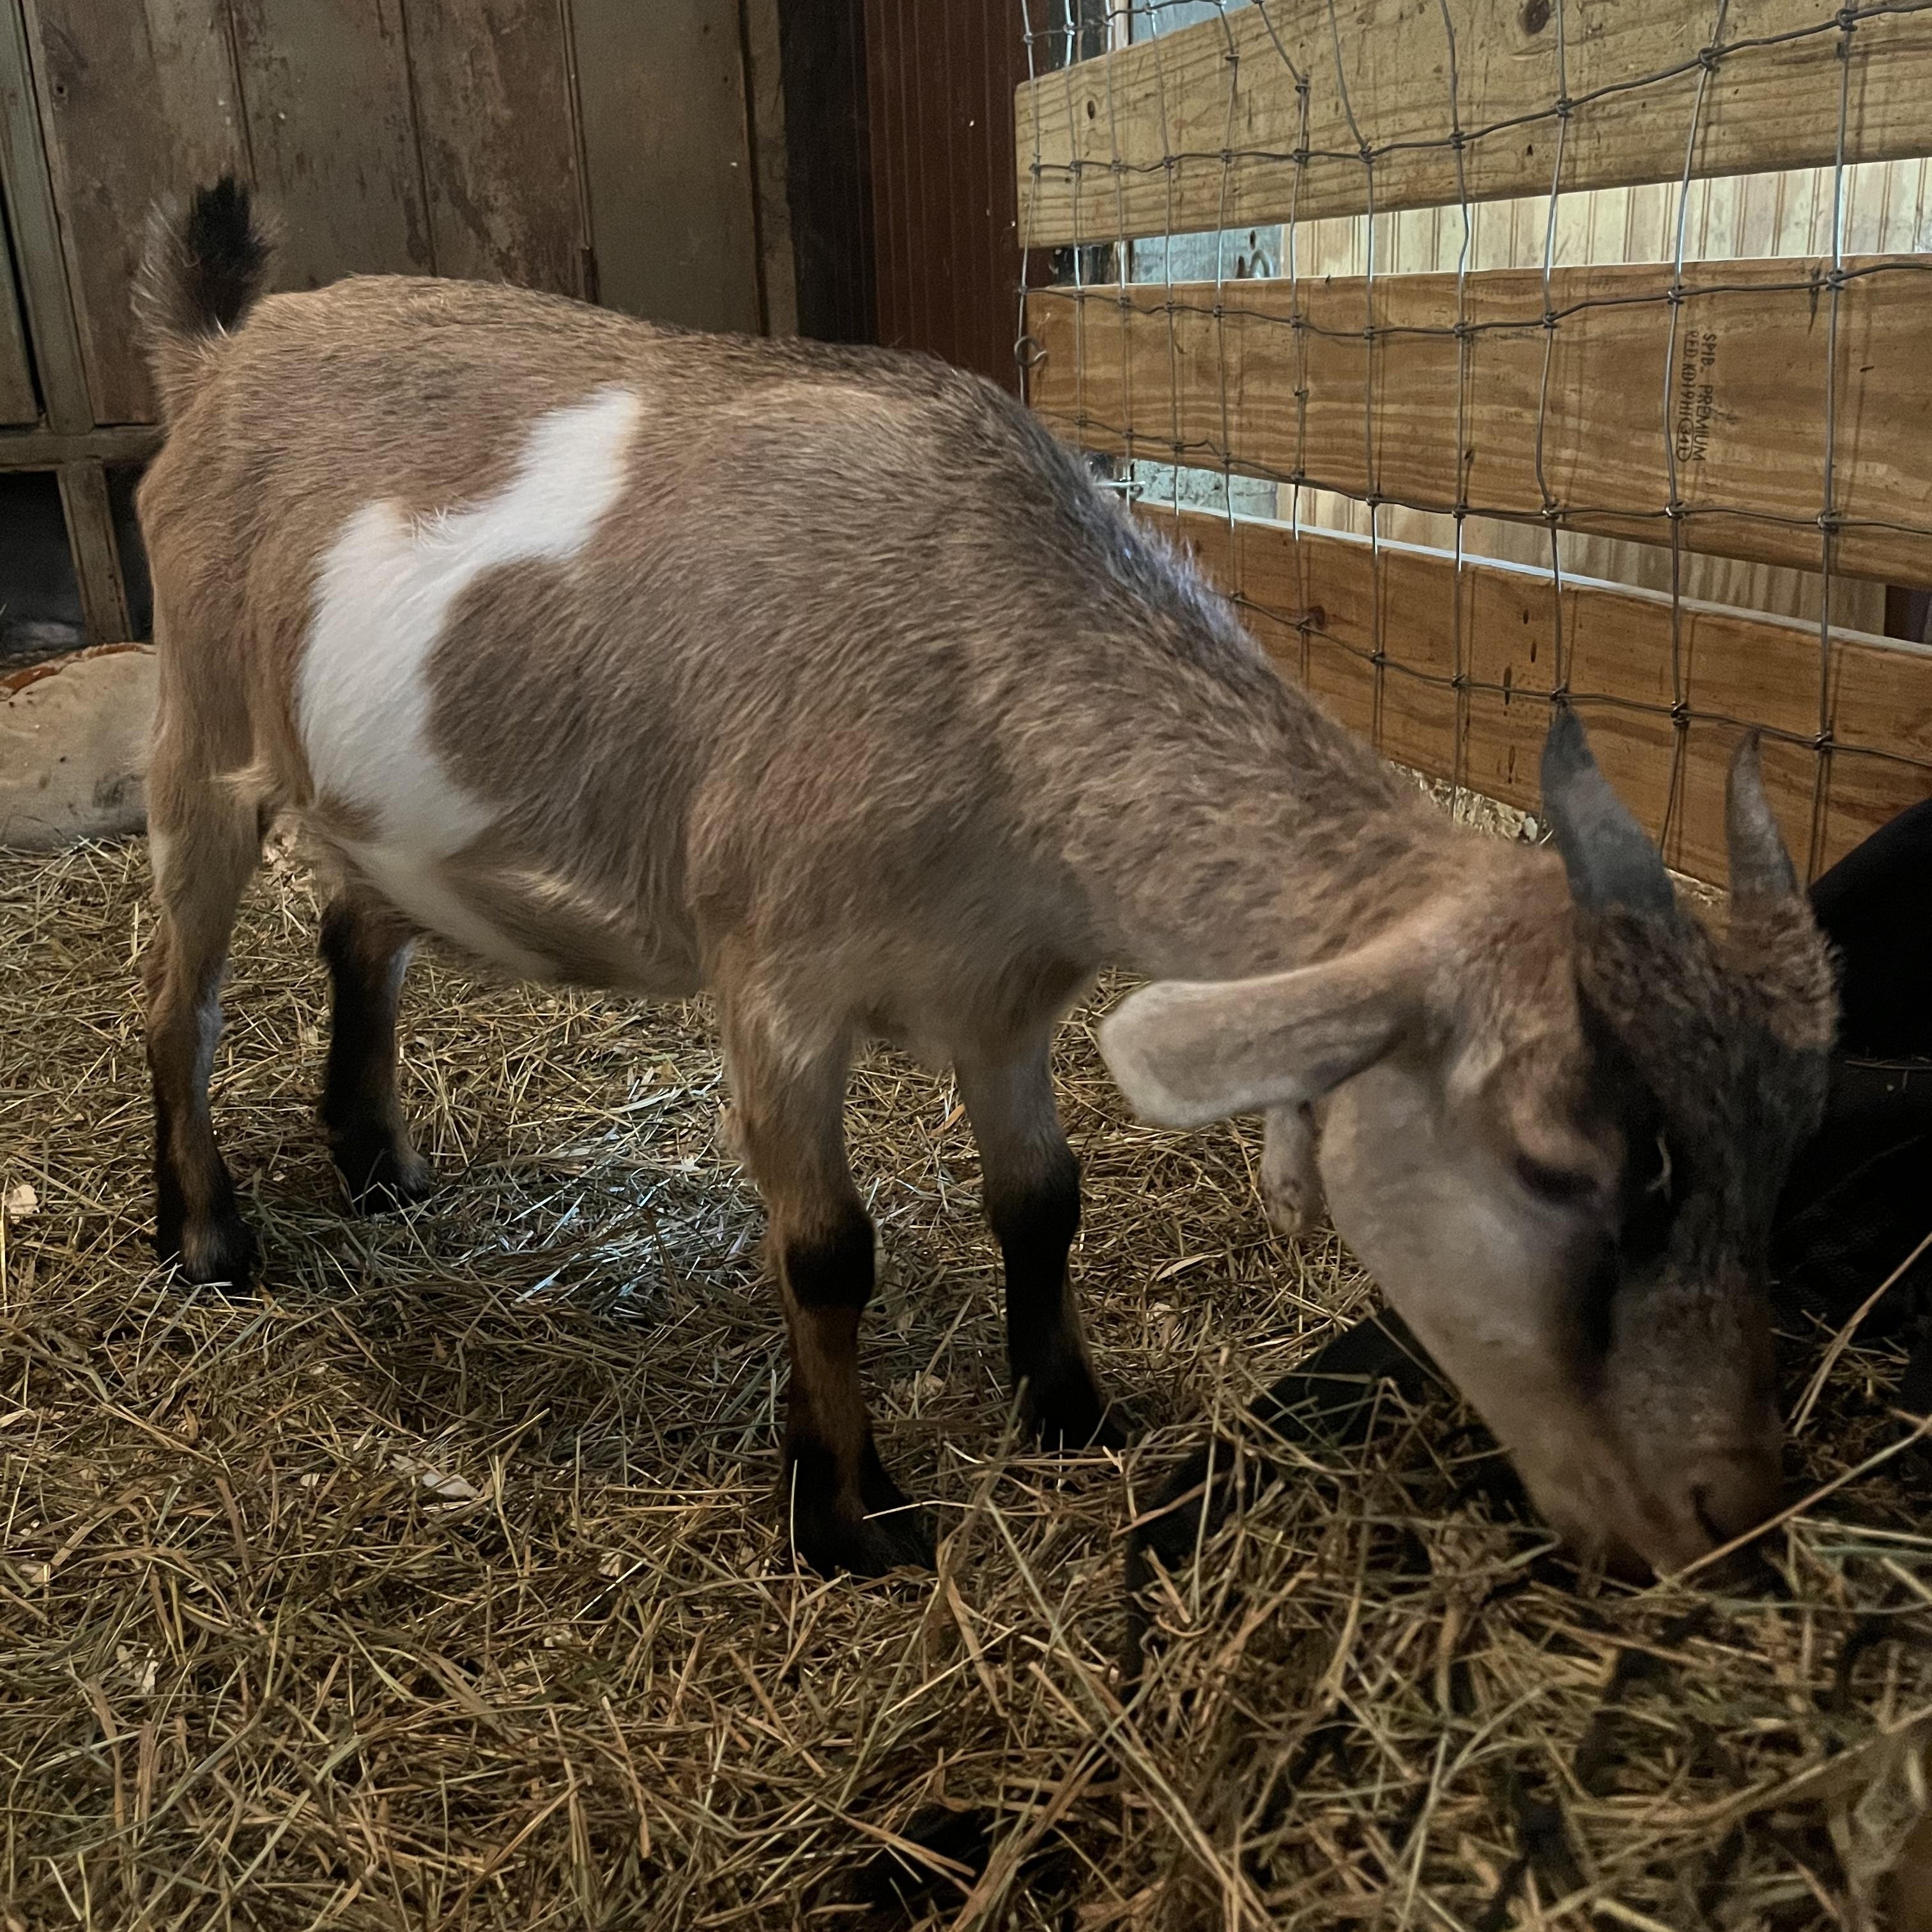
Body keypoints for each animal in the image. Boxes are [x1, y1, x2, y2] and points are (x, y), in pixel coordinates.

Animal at [134, 179, 1834, 1580]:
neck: (979, 644)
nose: (1732, 1515)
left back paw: (374, 1156)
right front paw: (849, 1515)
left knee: (358, 922)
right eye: (1561, 1169)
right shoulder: (777, 981)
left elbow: (1043, 1197)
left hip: (359, 788)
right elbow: (829, 1251)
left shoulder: (1004, 991)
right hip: (200, 730)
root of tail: (218, 351)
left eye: (1772, 1155)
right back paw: (206, 1238)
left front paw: (1074, 1411)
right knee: (180, 999)